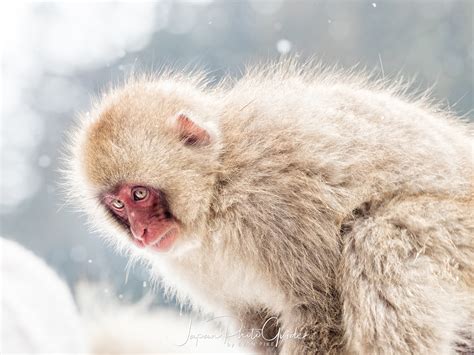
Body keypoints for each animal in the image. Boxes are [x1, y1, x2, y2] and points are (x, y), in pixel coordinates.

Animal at [65, 62, 472, 354]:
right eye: (118, 204)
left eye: (139, 194)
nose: (140, 233)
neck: (217, 192)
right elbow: (259, 326)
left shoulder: (276, 205)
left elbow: (319, 310)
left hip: (460, 241)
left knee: (379, 239)